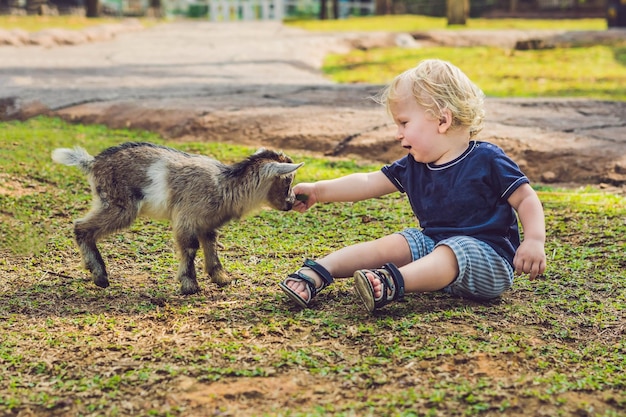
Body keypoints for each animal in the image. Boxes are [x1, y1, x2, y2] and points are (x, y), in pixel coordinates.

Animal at [52, 141, 302, 294]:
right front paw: (190, 285)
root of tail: (92, 163)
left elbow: (211, 245)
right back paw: (100, 275)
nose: (291, 203)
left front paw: (221, 277)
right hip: (119, 205)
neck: (225, 185)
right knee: (81, 227)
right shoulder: (186, 218)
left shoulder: (206, 224)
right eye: (288, 180)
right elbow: (190, 247)